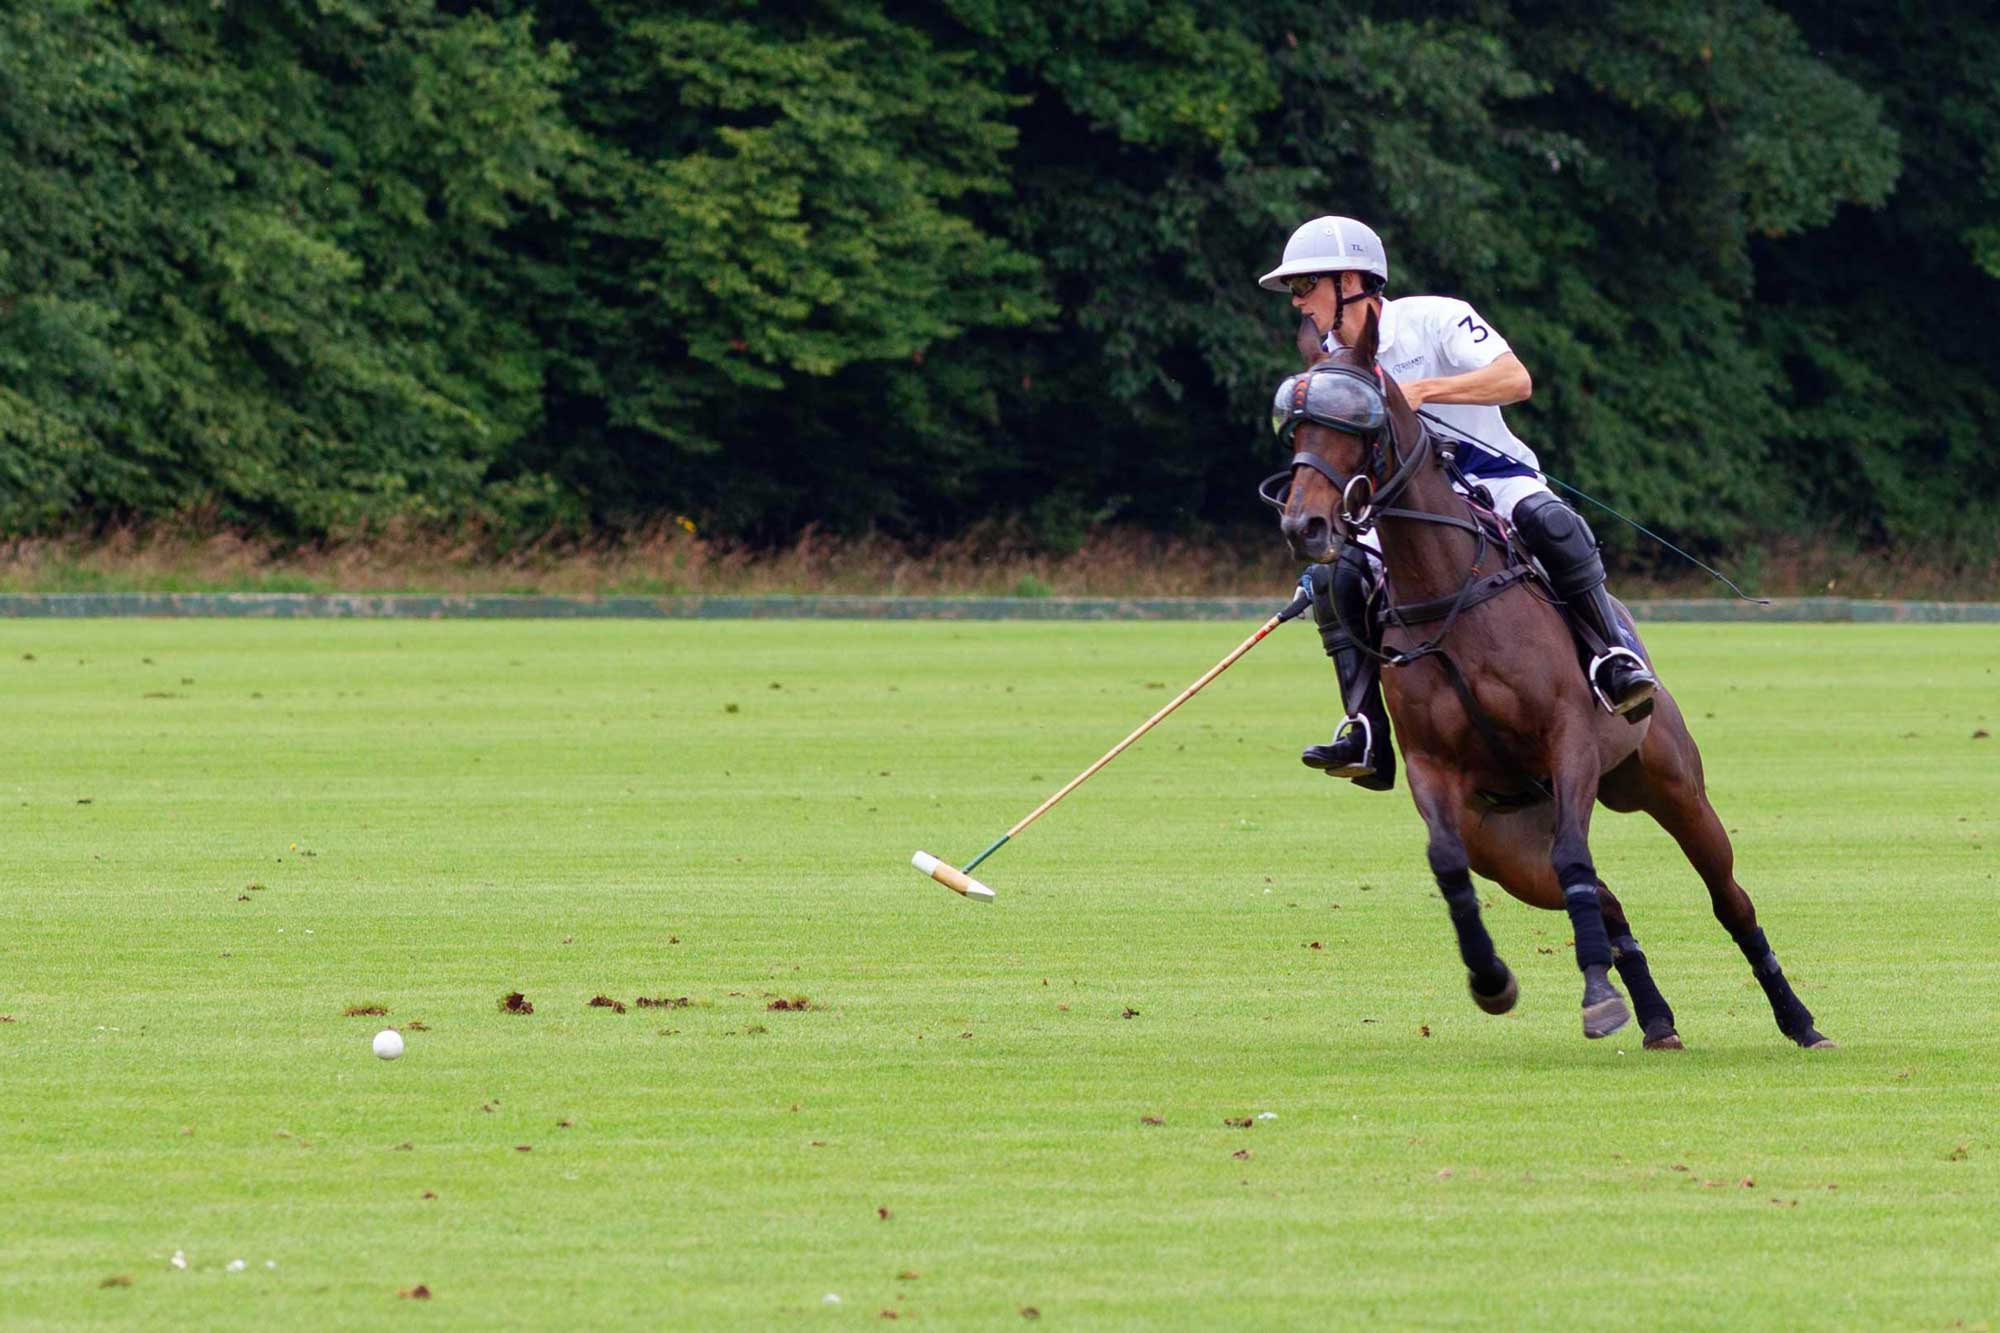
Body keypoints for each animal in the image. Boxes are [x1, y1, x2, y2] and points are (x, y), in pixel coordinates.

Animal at [1272, 306, 1832, 1040]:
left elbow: (1575, 855)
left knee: (1726, 897)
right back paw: (1655, 1016)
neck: (1447, 588)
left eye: (1359, 427)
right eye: (1294, 427)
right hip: (1509, 847)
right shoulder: (1431, 765)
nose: (1303, 525)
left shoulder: (1569, 738)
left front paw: (1594, 994)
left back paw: (1798, 1018)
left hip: (1671, 784)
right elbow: (1449, 863)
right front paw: (1493, 980)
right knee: (1603, 895)